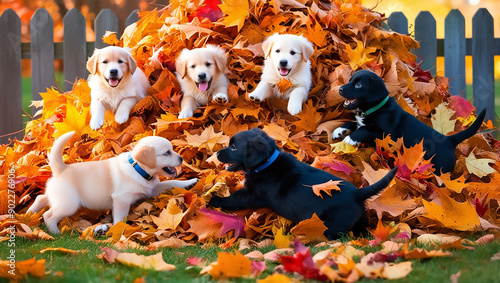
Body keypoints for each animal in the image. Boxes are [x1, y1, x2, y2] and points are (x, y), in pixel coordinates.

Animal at [27, 132, 198, 234]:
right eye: (166, 153)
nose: (181, 159)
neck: (138, 169)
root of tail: (61, 169)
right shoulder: (121, 199)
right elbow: (121, 217)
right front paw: (118, 230)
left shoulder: (153, 188)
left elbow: (173, 182)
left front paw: (190, 181)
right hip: (69, 204)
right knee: (49, 215)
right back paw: (56, 233)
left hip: (58, 198)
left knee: (40, 198)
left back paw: (29, 215)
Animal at [209, 129, 396, 240]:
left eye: (234, 147)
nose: (216, 153)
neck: (267, 163)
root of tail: (357, 194)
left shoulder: (252, 194)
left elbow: (234, 199)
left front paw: (213, 199)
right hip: (360, 218)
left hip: (333, 225)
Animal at [334, 70, 486, 174]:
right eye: (350, 80)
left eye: (358, 84)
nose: (340, 89)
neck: (375, 108)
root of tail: (449, 140)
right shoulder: (362, 120)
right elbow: (354, 123)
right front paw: (339, 131)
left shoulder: (385, 134)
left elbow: (364, 129)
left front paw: (350, 139)